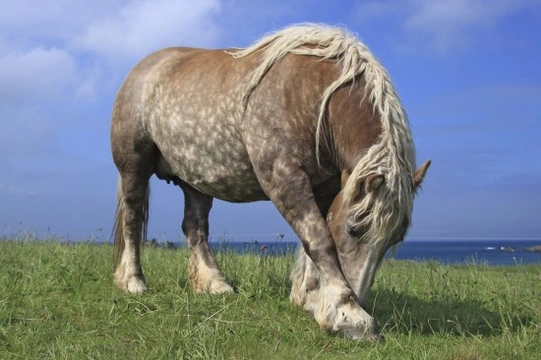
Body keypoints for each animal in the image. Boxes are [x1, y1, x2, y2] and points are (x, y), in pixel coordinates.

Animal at [110, 23, 430, 340]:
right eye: (354, 230)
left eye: (395, 239)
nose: (358, 297)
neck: (311, 95)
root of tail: (143, 68)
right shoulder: (283, 178)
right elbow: (320, 239)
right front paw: (348, 315)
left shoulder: (325, 188)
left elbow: (315, 239)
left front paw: (312, 299)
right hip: (133, 167)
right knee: (133, 218)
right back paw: (133, 281)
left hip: (195, 181)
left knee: (195, 228)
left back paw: (215, 284)